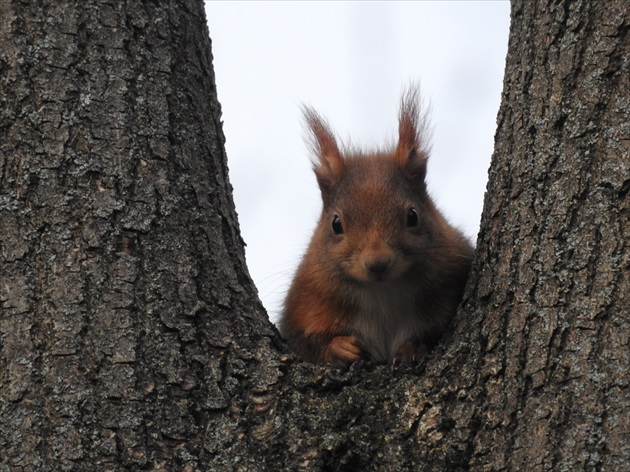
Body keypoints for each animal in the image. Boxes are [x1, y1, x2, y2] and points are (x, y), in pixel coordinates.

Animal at [280, 87, 474, 368]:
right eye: (336, 224)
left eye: (413, 216)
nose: (378, 263)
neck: (382, 292)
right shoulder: (304, 302)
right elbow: (305, 343)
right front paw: (339, 348)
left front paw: (413, 347)